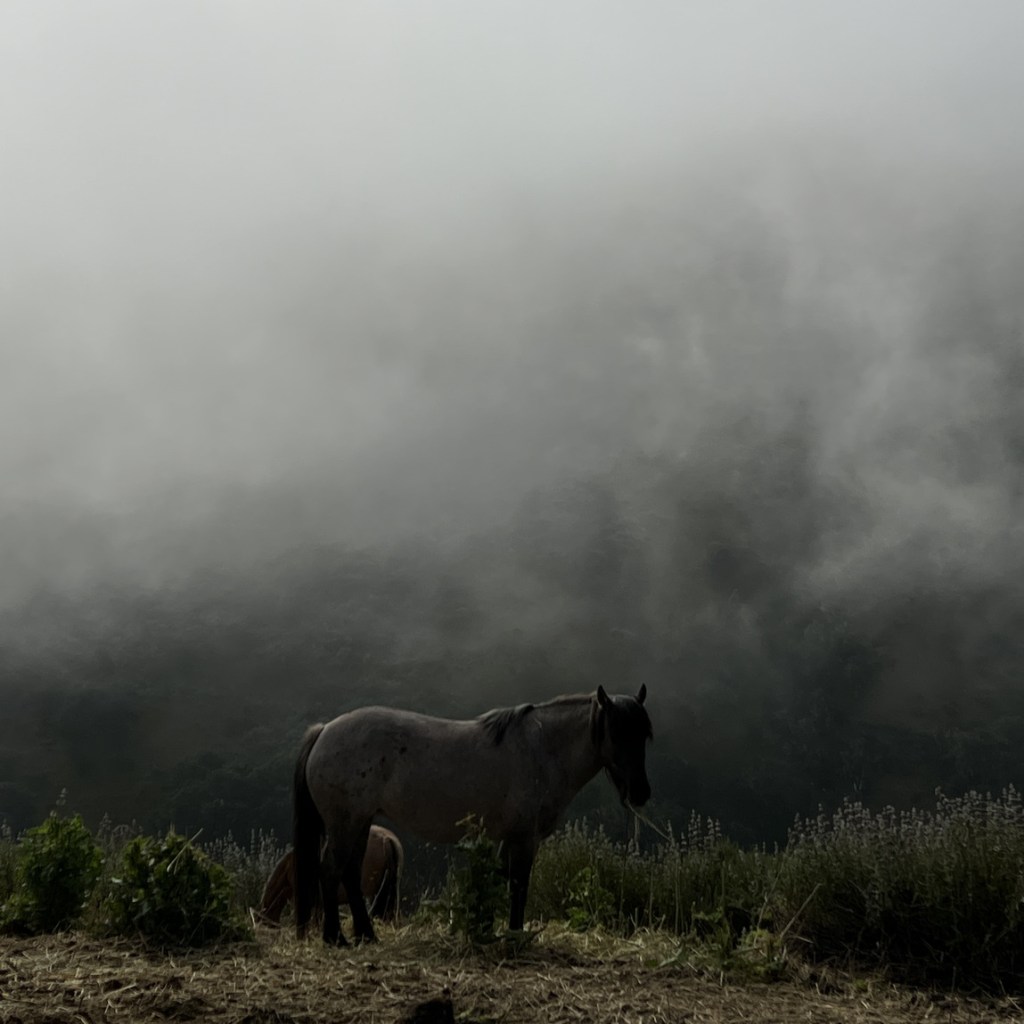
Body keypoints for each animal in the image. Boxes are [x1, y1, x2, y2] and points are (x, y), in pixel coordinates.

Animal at [293, 685, 652, 945]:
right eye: (617, 733)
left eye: (644, 735)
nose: (641, 792)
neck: (541, 749)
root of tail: (325, 730)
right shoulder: (525, 839)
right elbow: (518, 885)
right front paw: (514, 937)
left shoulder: (509, 838)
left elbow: (498, 878)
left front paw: (487, 929)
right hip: (345, 823)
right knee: (331, 870)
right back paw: (335, 938)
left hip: (360, 822)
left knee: (350, 874)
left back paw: (367, 935)